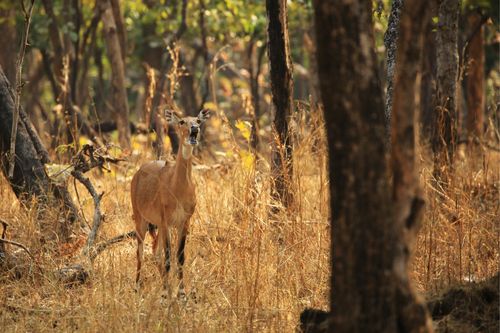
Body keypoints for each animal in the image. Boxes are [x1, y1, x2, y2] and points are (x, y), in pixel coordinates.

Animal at [130, 108, 210, 294]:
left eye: (198, 120)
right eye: (181, 121)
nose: (194, 128)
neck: (178, 188)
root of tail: (138, 173)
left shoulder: (184, 221)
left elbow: (180, 257)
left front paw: (180, 292)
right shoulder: (166, 220)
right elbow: (168, 258)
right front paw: (169, 293)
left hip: (157, 224)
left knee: (155, 251)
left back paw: (164, 285)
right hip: (140, 217)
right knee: (140, 251)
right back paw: (137, 286)